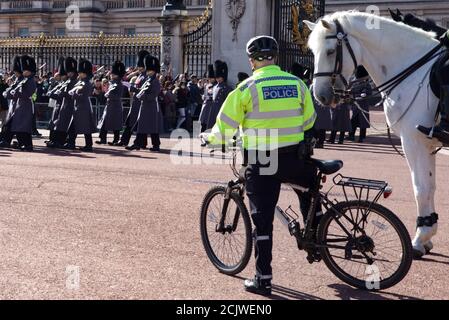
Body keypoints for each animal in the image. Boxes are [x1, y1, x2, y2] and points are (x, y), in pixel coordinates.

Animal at [304, 11, 444, 258]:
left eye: (330, 51)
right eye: (312, 51)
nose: (320, 96)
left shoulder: (414, 141)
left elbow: (420, 188)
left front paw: (420, 238)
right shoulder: (427, 144)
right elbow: (430, 186)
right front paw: (427, 235)